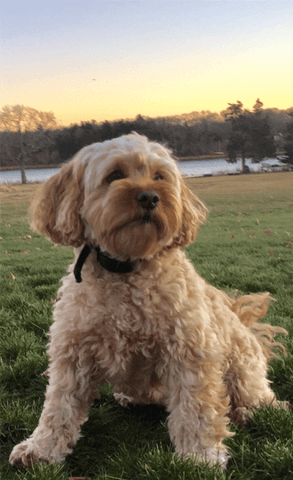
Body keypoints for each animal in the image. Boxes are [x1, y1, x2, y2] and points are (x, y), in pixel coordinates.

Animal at [9, 132, 288, 468]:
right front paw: (41, 448)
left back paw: (247, 412)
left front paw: (199, 455)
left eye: (159, 177)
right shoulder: (72, 352)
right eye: (114, 175)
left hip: (242, 367)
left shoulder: (189, 351)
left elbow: (196, 408)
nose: (149, 197)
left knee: (261, 399)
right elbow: (58, 406)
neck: (127, 266)